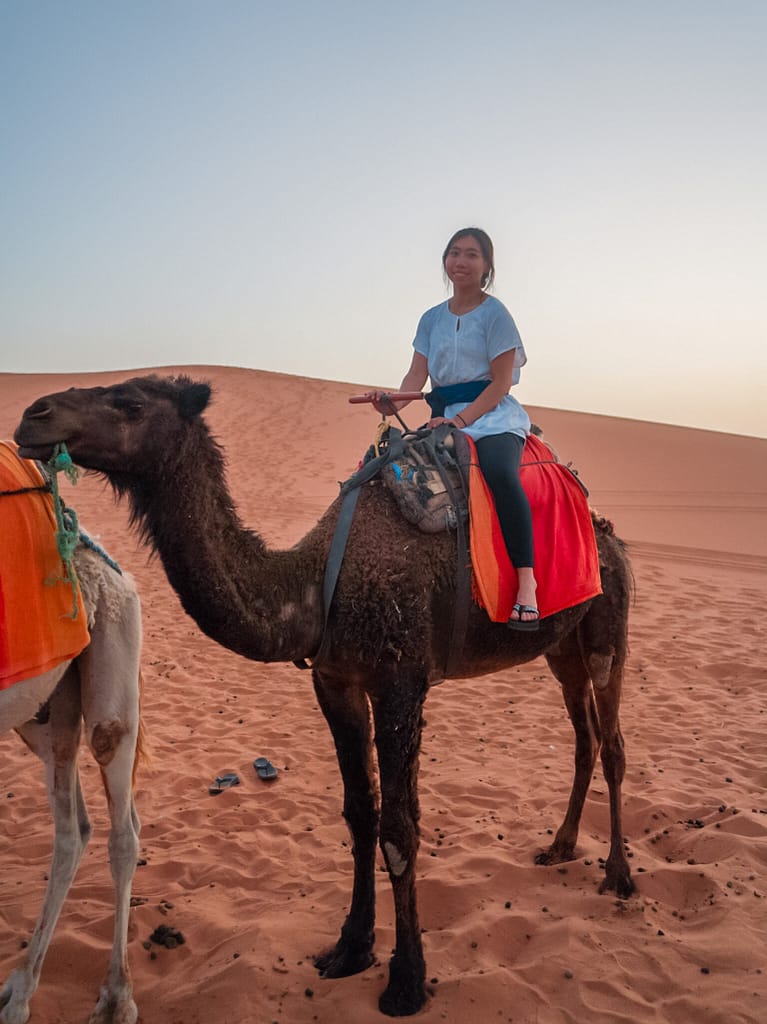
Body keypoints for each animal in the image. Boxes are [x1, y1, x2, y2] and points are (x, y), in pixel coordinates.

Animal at [0, 541, 143, 1024]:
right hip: (43, 712)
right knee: (77, 828)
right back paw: (20, 988)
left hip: (113, 663)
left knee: (120, 833)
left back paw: (114, 996)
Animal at [15, 374, 634, 1017]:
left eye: (131, 403)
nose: (35, 414)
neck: (314, 588)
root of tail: (606, 530)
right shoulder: (335, 682)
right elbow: (361, 815)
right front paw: (350, 949)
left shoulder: (402, 684)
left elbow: (400, 829)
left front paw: (406, 981)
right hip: (560, 649)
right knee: (585, 738)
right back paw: (560, 846)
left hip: (607, 627)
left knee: (613, 741)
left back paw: (617, 876)